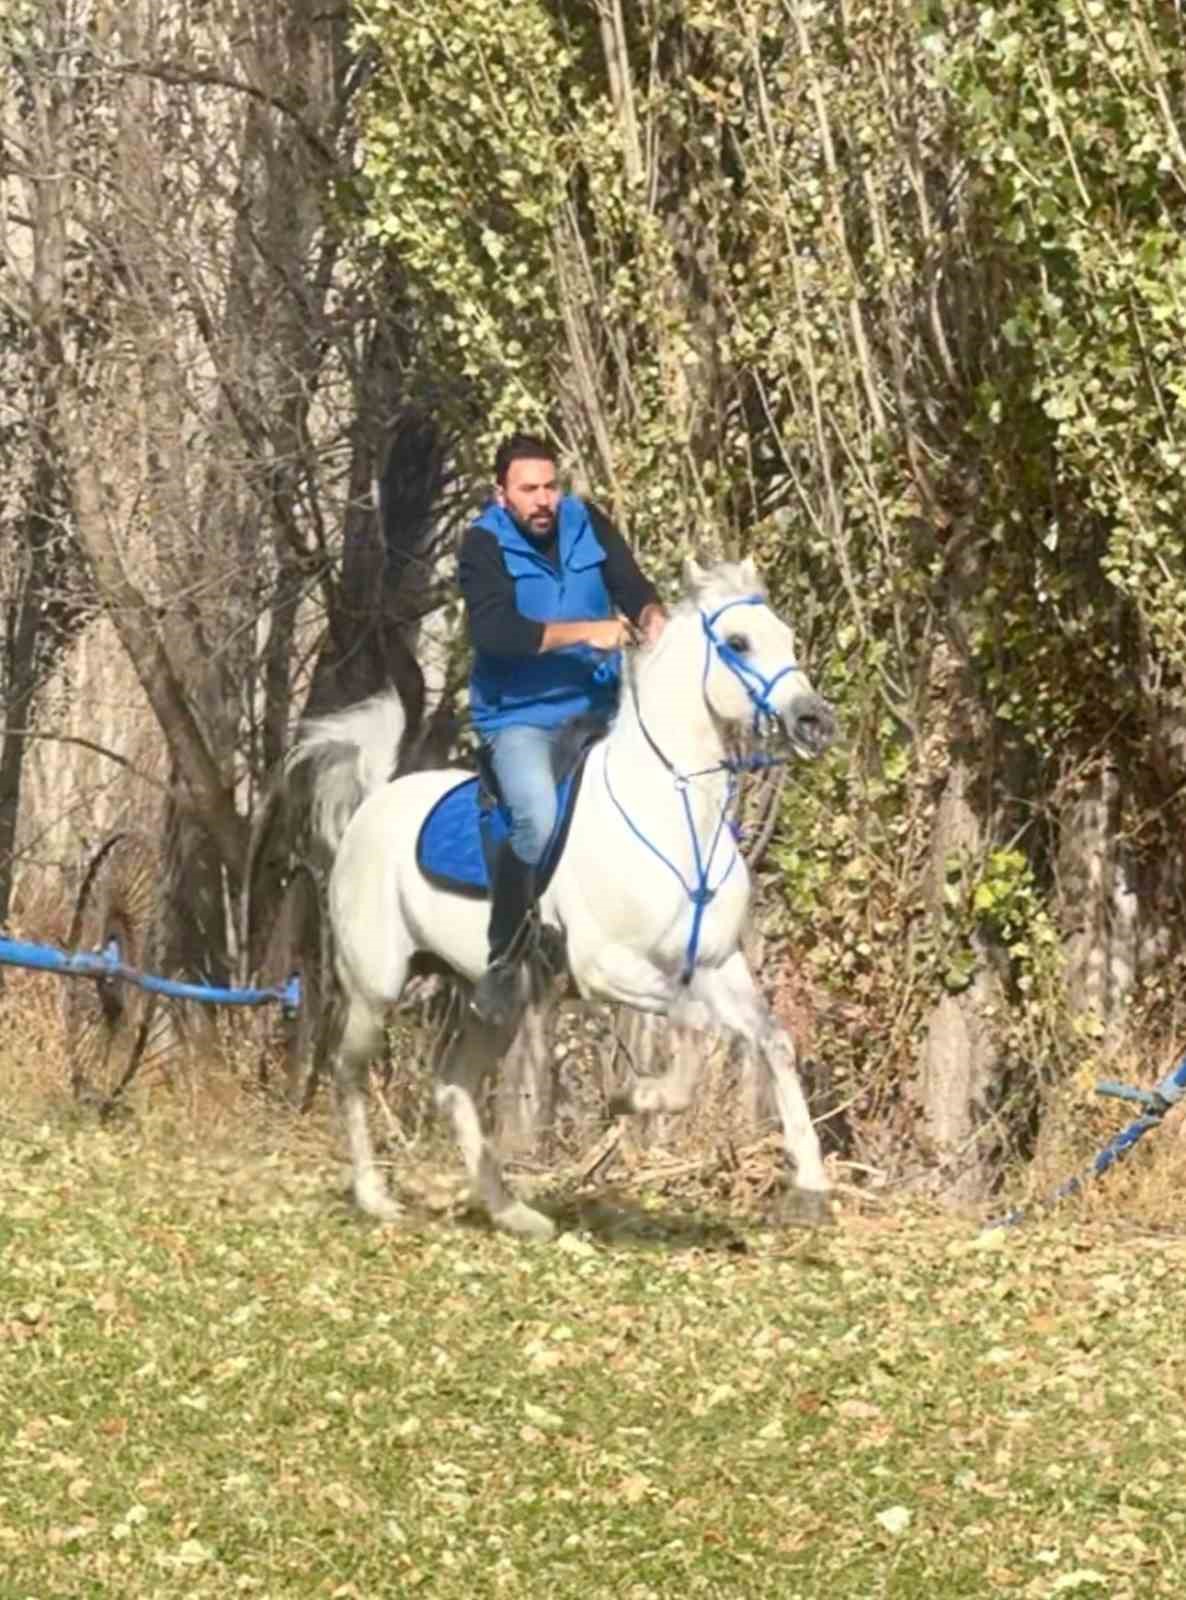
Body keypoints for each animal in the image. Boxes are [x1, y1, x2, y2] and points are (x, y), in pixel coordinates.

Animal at [288, 556, 838, 1241]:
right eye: (738, 643)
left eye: (786, 636)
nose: (814, 721)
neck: (677, 817)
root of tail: (372, 804)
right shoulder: (609, 969)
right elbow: (694, 1022)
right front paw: (635, 1098)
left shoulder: (716, 965)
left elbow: (771, 1040)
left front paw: (811, 1185)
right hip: (375, 986)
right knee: (350, 1073)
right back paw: (375, 1197)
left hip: (493, 1001)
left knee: (454, 1085)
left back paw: (512, 1212)